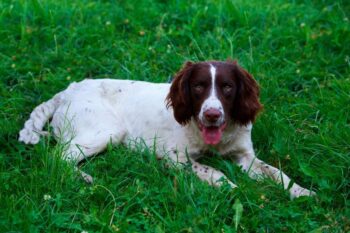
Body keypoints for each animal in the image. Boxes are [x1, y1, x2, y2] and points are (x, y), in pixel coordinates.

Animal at [18, 60, 314, 198]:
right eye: (199, 86)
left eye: (228, 87)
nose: (212, 114)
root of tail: (68, 90)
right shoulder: (174, 156)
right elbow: (210, 169)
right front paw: (229, 186)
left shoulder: (245, 156)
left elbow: (277, 173)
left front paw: (302, 192)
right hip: (106, 131)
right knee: (57, 157)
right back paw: (84, 178)